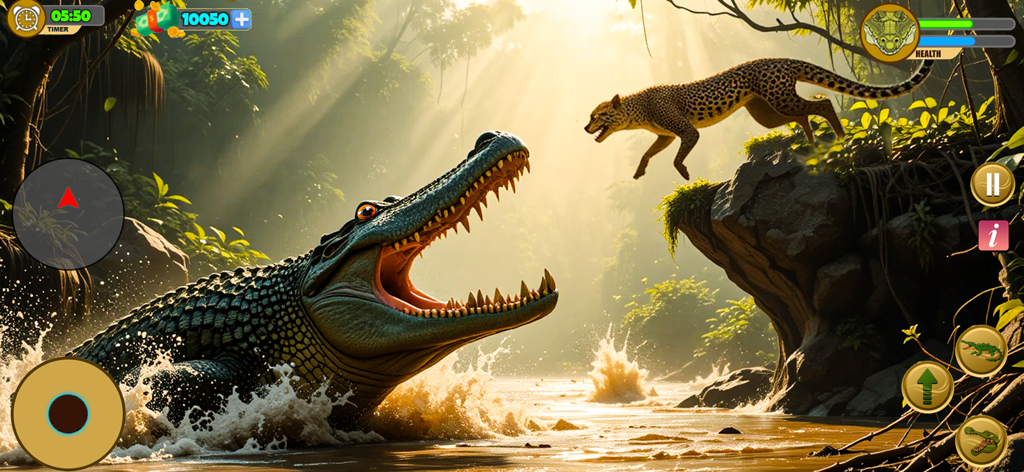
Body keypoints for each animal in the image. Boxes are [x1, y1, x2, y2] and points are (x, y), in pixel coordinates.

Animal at [585, 58, 934, 180]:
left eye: (596, 115)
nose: (586, 127)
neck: (636, 109)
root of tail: (781, 59)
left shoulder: (686, 132)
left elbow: (677, 156)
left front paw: (682, 171)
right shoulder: (666, 135)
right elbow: (650, 151)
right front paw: (640, 170)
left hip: (780, 99)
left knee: (821, 104)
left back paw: (838, 139)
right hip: (767, 111)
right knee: (805, 114)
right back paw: (809, 144)